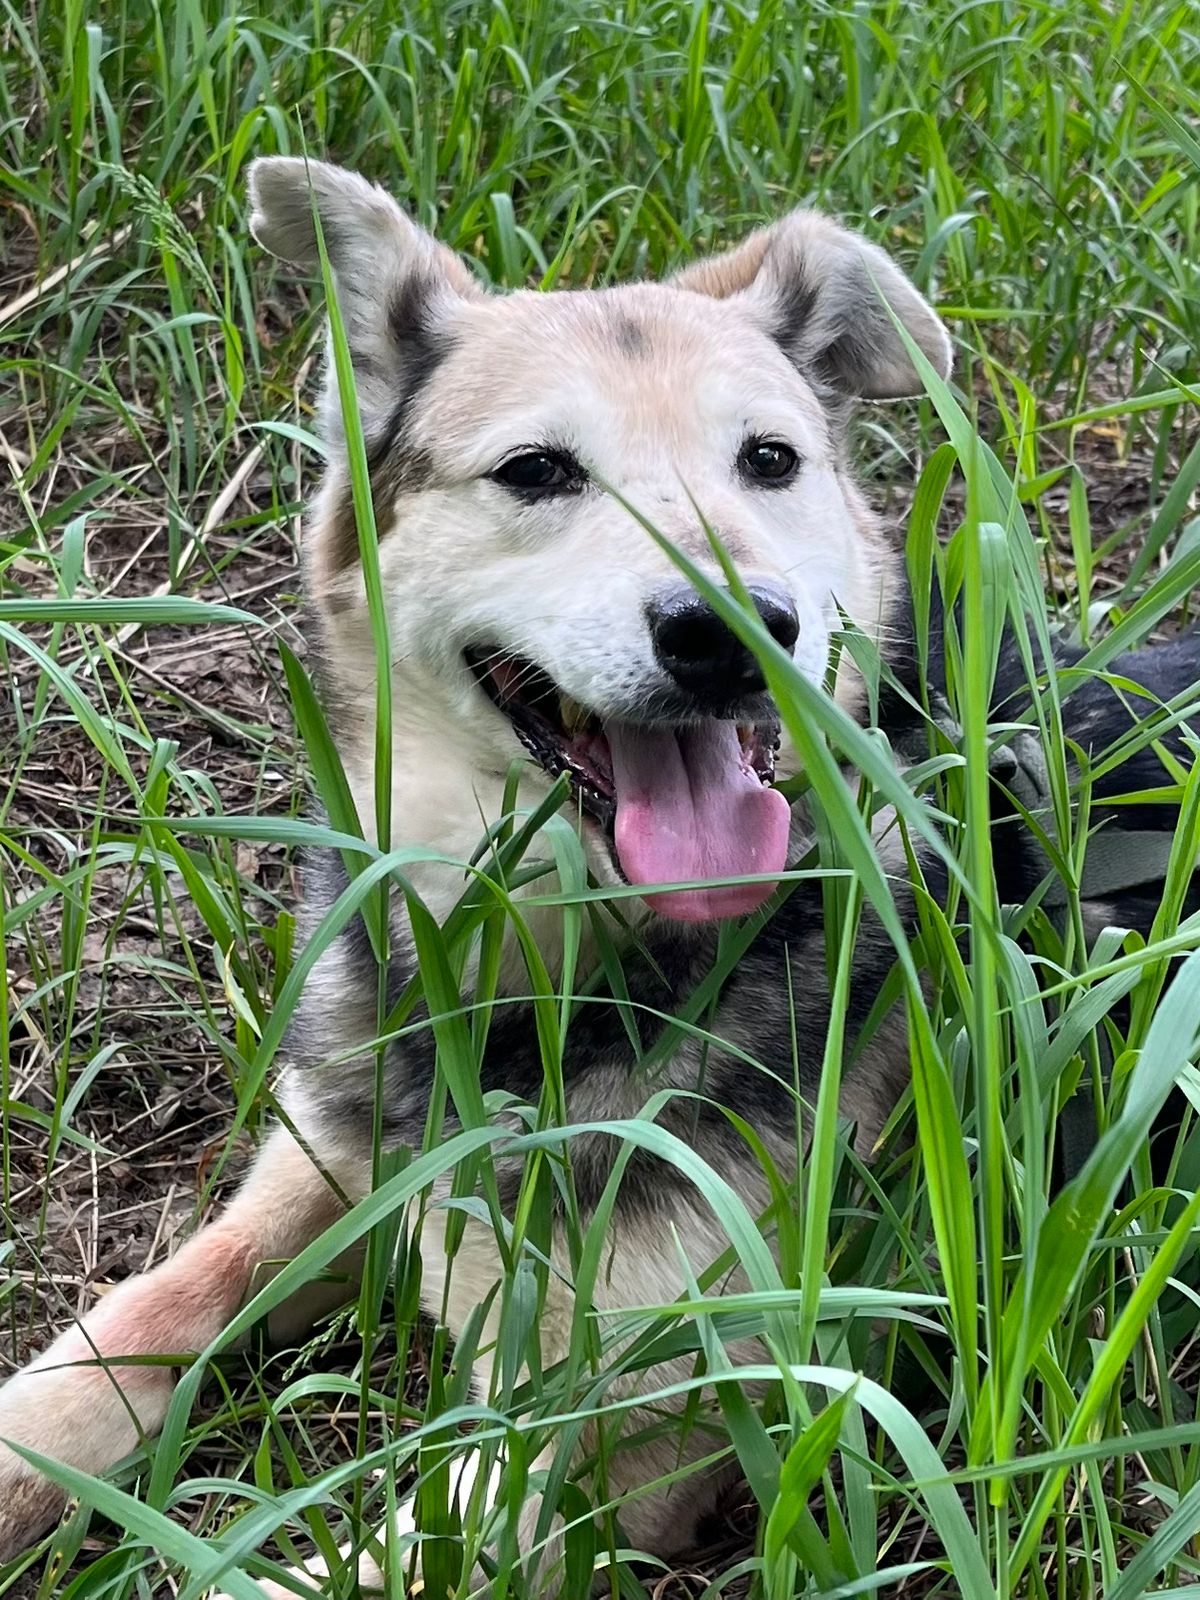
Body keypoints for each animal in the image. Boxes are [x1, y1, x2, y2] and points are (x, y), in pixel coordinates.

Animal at [0, 162, 1196, 1587]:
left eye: (770, 461)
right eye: (536, 471)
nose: (734, 628)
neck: (550, 983)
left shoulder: (622, 1417)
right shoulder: (327, 1166)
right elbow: (143, 1315)